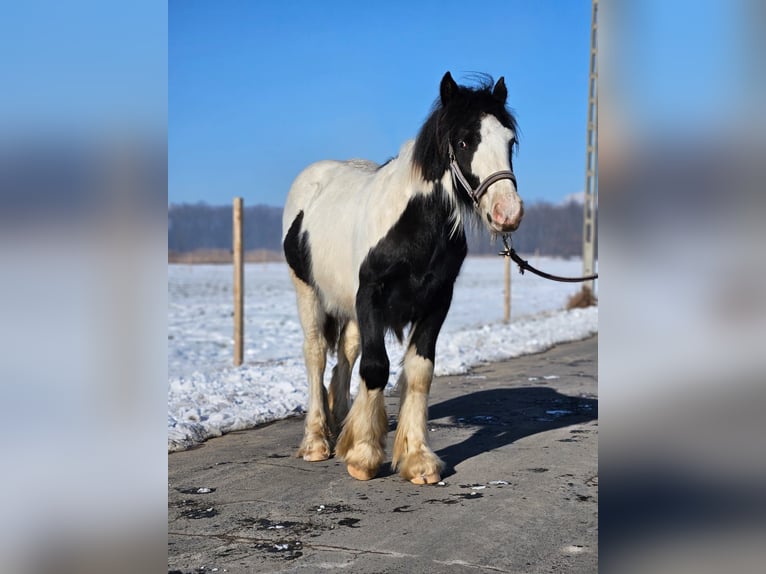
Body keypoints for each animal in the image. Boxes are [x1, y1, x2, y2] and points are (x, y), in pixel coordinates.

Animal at [284, 72, 524, 486]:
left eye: (510, 141)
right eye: (465, 141)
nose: (507, 212)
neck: (415, 225)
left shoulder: (436, 300)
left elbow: (418, 372)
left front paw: (416, 459)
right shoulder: (371, 295)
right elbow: (376, 368)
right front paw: (364, 457)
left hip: (347, 304)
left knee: (346, 353)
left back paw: (341, 422)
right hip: (308, 293)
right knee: (315, 353)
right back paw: (316, 440)